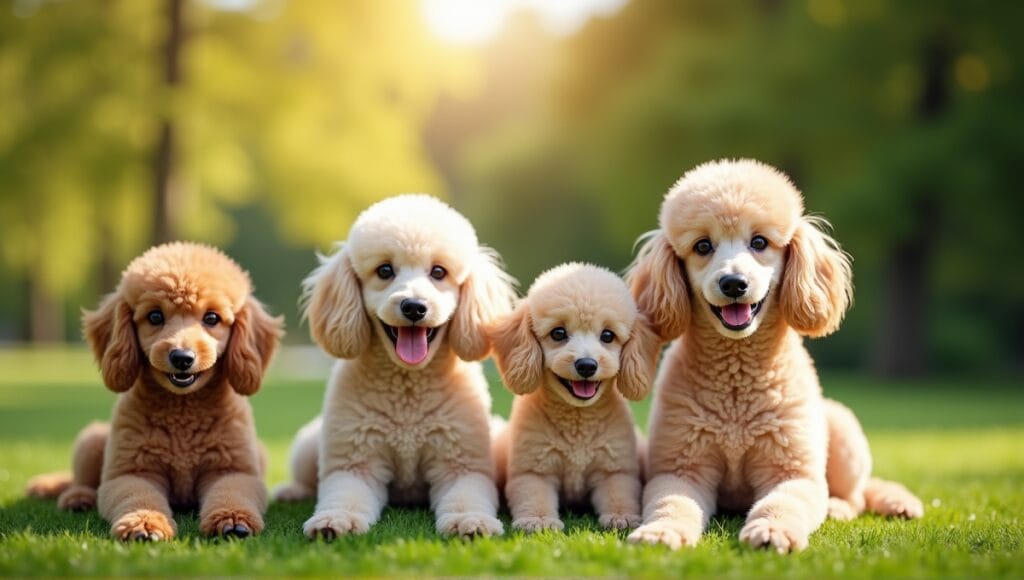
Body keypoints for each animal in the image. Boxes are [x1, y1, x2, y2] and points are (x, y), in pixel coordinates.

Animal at [26, 242, 282, 545]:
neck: (183, 413)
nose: (182, 357)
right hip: (93, 441)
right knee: (82, 480)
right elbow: (138, 497)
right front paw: (144, 524)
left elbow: (231, 493)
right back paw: (78, 497)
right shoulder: (131, 472)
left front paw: (233, 520)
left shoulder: (233, 470)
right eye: (155, 317)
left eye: (212, 318)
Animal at [272, 194, 516, 541]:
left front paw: (470, 521)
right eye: (385, 270)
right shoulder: (355, 463)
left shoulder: (461, 464)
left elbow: (466, 498)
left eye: (438, 272)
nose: (414, 307)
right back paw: (292, 491)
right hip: (309, 445)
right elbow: (343, 496)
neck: (407, 388)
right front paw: (334, 520)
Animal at [489, 264, 663, 536]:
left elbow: (619, 494)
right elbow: (534, 497)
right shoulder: (533, 470)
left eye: (608, 336)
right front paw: (539, 521)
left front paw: (621, 517)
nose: (587, 365)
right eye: (558, 333)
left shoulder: (614, 469)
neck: (578, 421)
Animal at [622, 158, 921, 553]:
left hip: (843, 432)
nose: (734, 283)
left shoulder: (792, 471)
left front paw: (772, 531)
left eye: (759, 242)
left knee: (858, 495)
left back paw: (843, 507)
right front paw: (661, 532)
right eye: (703, 246)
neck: (736, 382)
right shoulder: (681, 468)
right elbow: (672, 504)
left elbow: (783, 503)